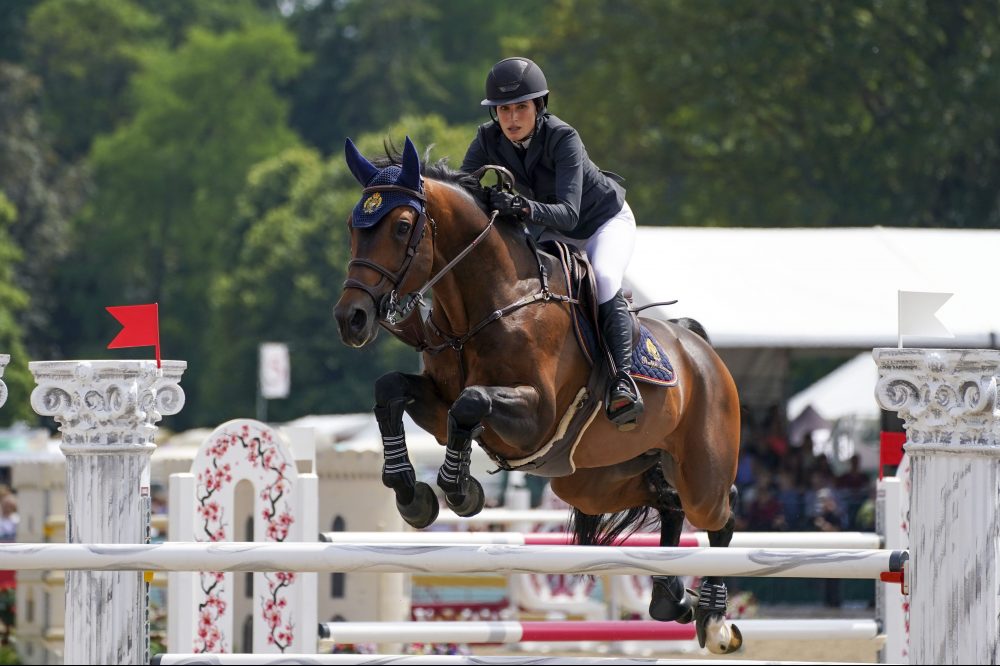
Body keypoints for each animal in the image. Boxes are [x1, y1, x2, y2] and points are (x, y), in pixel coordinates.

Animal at [333, 136, 743, 654]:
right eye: (353, 226)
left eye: (402, 226)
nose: (352, 319)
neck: (489, 304)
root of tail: (700, 348)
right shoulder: (438, 403)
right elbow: (392, 389)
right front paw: (412, 494)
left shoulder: (535, 416)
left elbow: (472, 402)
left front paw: (459, 491)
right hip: (593, 481)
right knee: (666, 501)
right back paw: (671, 598)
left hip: (700, 471)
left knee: (719, 516)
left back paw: (714, 619)